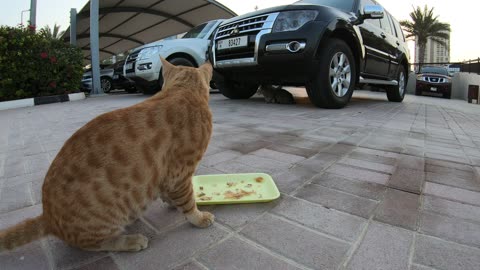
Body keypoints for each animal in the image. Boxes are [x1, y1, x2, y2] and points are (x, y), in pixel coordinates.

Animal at [0, 58, 214, 252]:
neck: (183, 90)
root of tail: (47, 217)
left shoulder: (167, 177)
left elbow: (167, 192)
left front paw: (170, 202)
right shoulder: (180, 174)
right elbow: (188, 202)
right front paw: (199, 217)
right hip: (104, 221)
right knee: (95, 244)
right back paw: (130, 241)